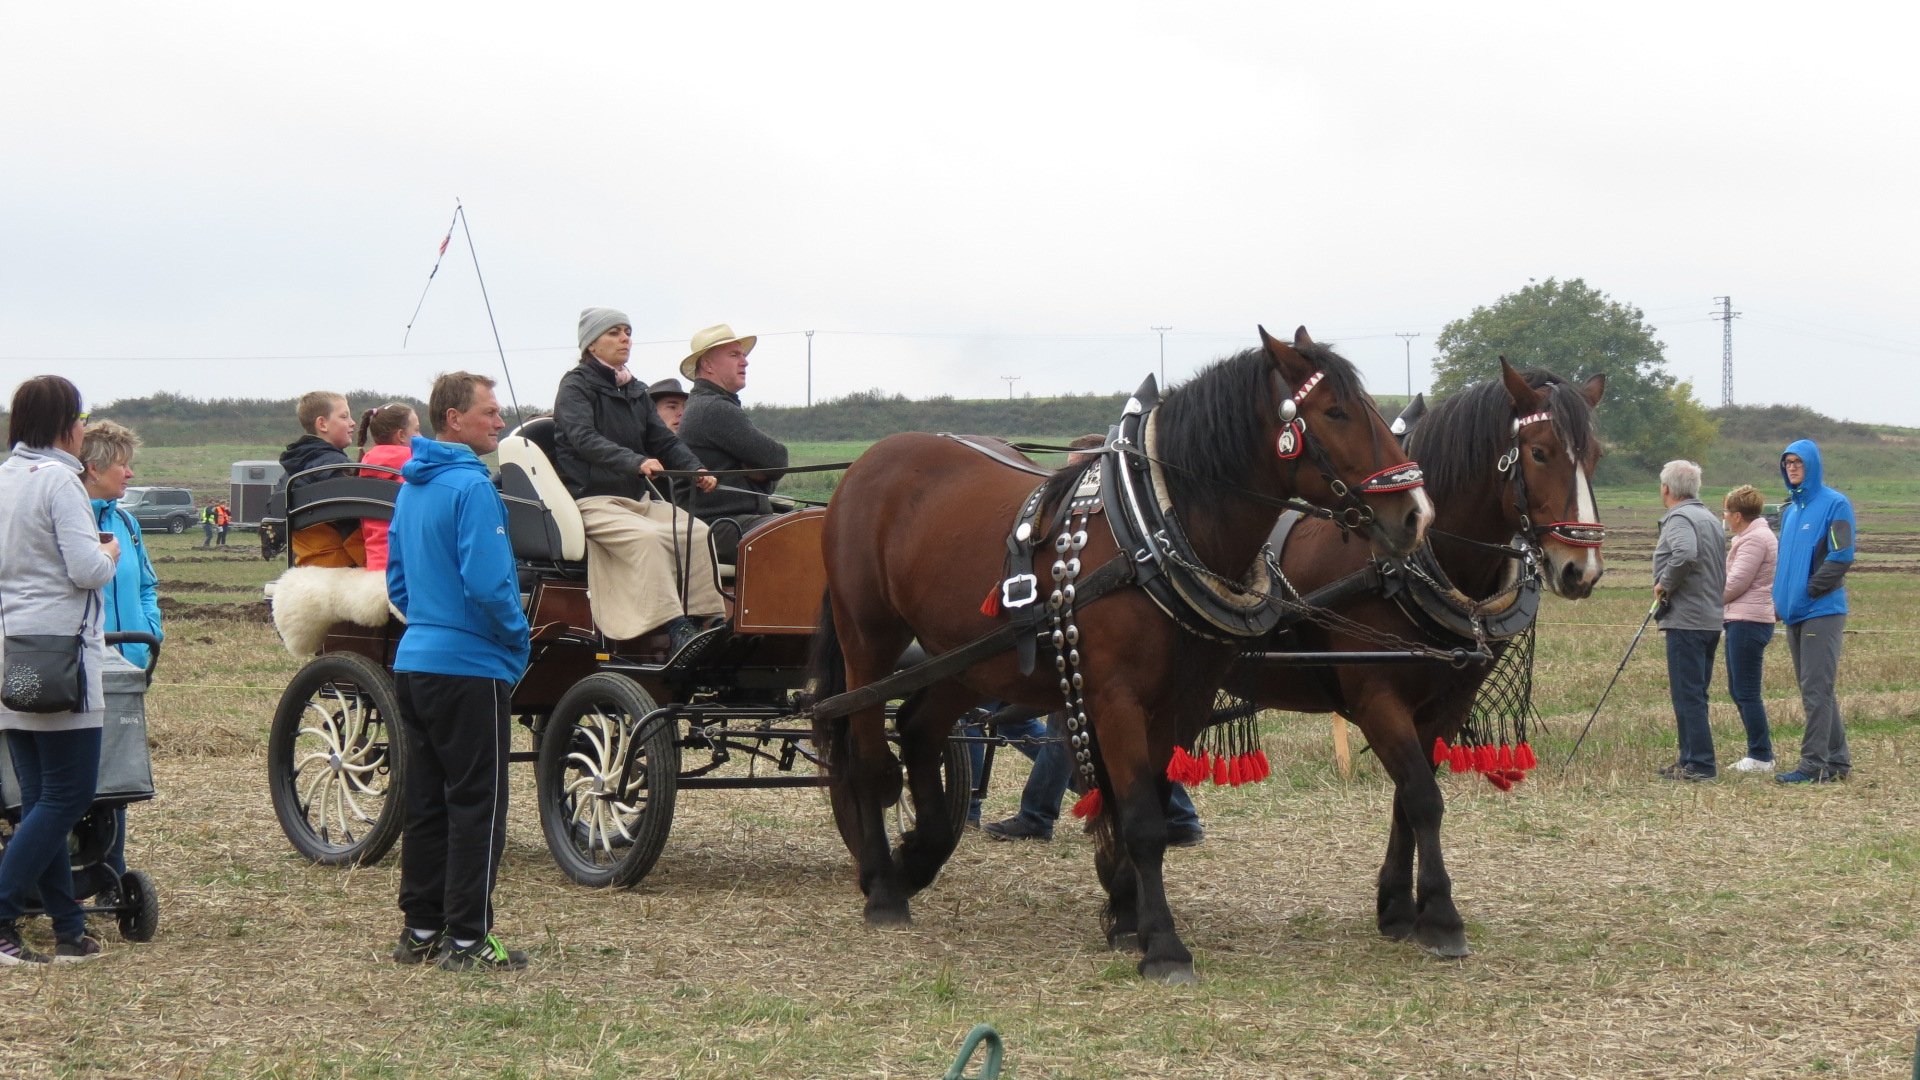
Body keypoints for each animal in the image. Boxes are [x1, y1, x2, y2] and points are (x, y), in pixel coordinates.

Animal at [817, 322, 1436, 980]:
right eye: (1335, 411)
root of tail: (866, 465)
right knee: (867, 757)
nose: (1415, 514)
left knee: (917, 728)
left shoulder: (1181, 701)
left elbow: (1145, 802)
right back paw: (884, 886)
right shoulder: (1114, 696)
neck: (1154, 527)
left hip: (968, 658)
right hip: (868, 640)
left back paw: (919, 856)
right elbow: (1139, 817)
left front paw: (1123, 913)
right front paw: (1161, 943)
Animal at [1228, 359, 1605, 949]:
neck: (1406, 565)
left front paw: (1399, 907)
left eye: (1595, 456)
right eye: (1541, 452)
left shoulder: (1446, 702)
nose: (1581, 570)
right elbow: (1424, 797)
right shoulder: (1376, 698)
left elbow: (1408, 796)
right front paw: (1442, 915)